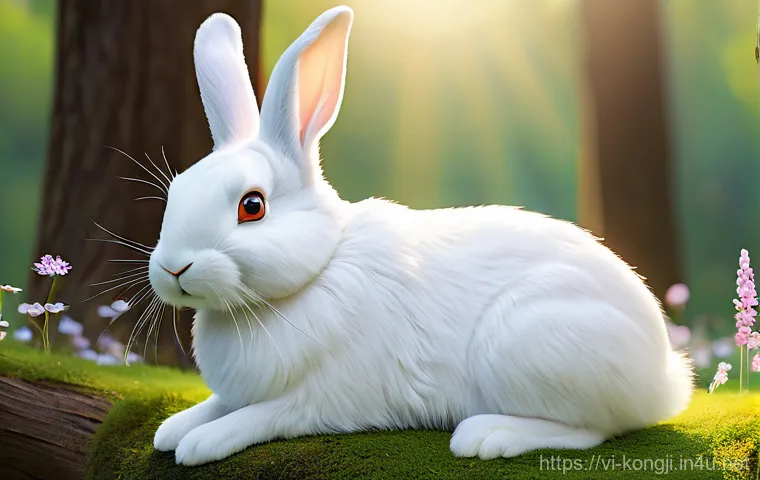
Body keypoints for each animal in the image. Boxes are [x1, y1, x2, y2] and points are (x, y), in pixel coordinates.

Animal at [149, 6, 693, 467]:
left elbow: (257, 417)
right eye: (176, 191)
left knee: (593, 431)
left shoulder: (324, 398)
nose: (174, 267)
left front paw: (200, 443)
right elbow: (216, 404)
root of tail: (664, 374)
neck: (314, 275)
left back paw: (489, 435)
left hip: (526, 341)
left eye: (253, 206)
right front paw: (172, 429)